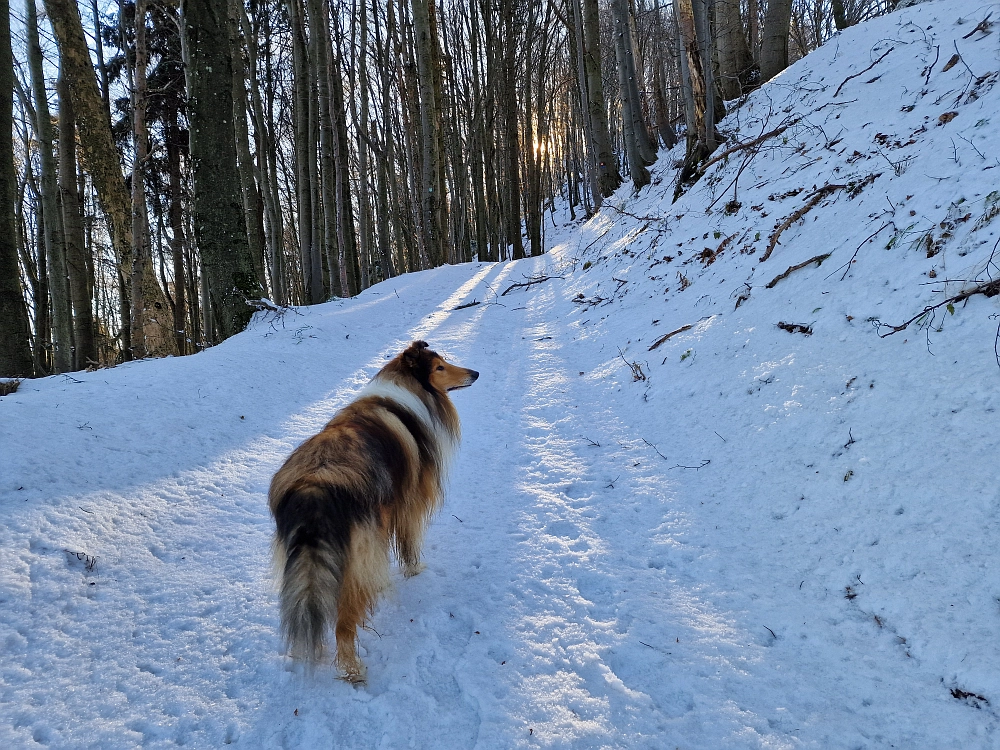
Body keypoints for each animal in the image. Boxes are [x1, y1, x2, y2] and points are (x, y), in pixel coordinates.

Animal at [270, 344, 480, 684]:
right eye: (439, 367)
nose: (474, 373)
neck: (407, 390)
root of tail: (315, 488)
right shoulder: (409, 504)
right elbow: (408, 544)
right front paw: (415, 570)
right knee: (343, 622)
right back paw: (352, 670)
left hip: (306, 564)